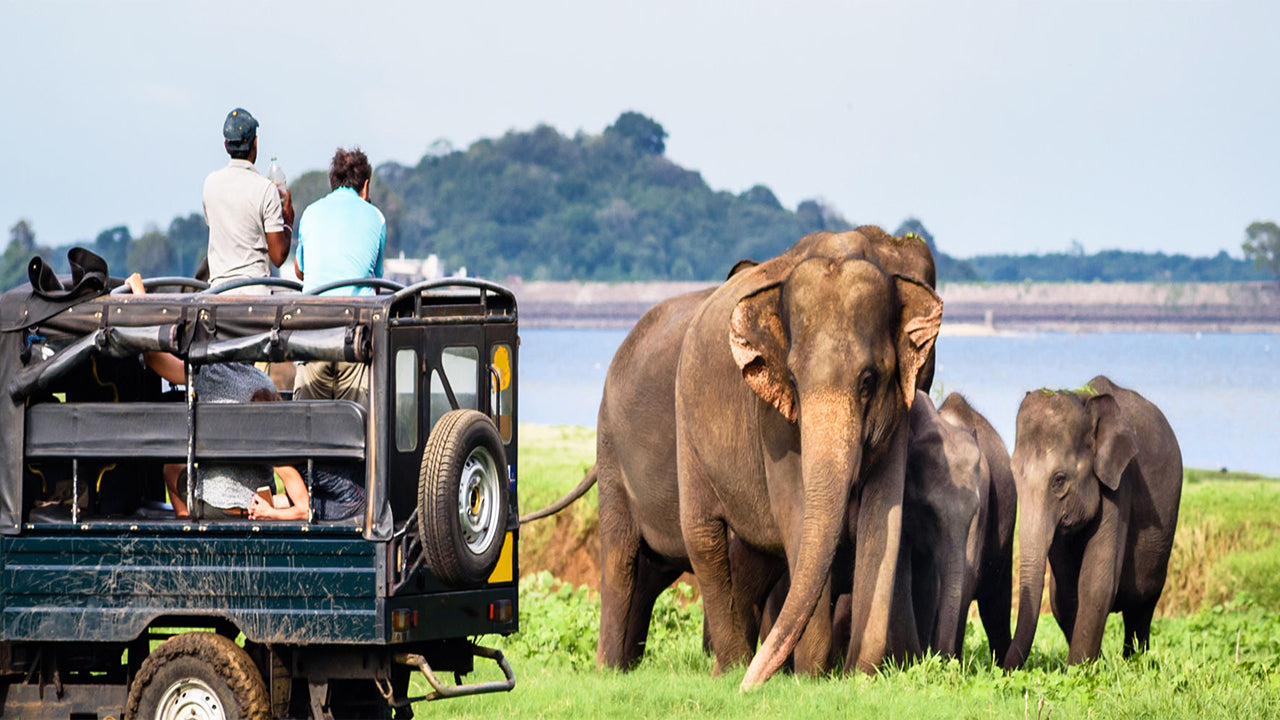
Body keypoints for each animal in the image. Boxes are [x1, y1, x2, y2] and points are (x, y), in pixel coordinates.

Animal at [680, 228, 942, 681]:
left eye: (869, 381)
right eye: (793, 378)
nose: (750, 688)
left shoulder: (899, 412)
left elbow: (884, 515)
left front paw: (859, 675)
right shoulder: (772, 418)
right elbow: (796, 511)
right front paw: (811, 676)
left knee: (751, 554)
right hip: (686, 426)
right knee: (703, 537)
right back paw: (732, 669)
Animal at [1003, 376, 1182, 666]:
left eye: (1059, 480)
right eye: (1014, 475)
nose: (1002, 669)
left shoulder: (1120, 481)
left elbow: (1096, 581)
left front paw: (1077, 669)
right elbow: (1064, 593)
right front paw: (1091, 665)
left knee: (1142, 605)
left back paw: (1134, 662)